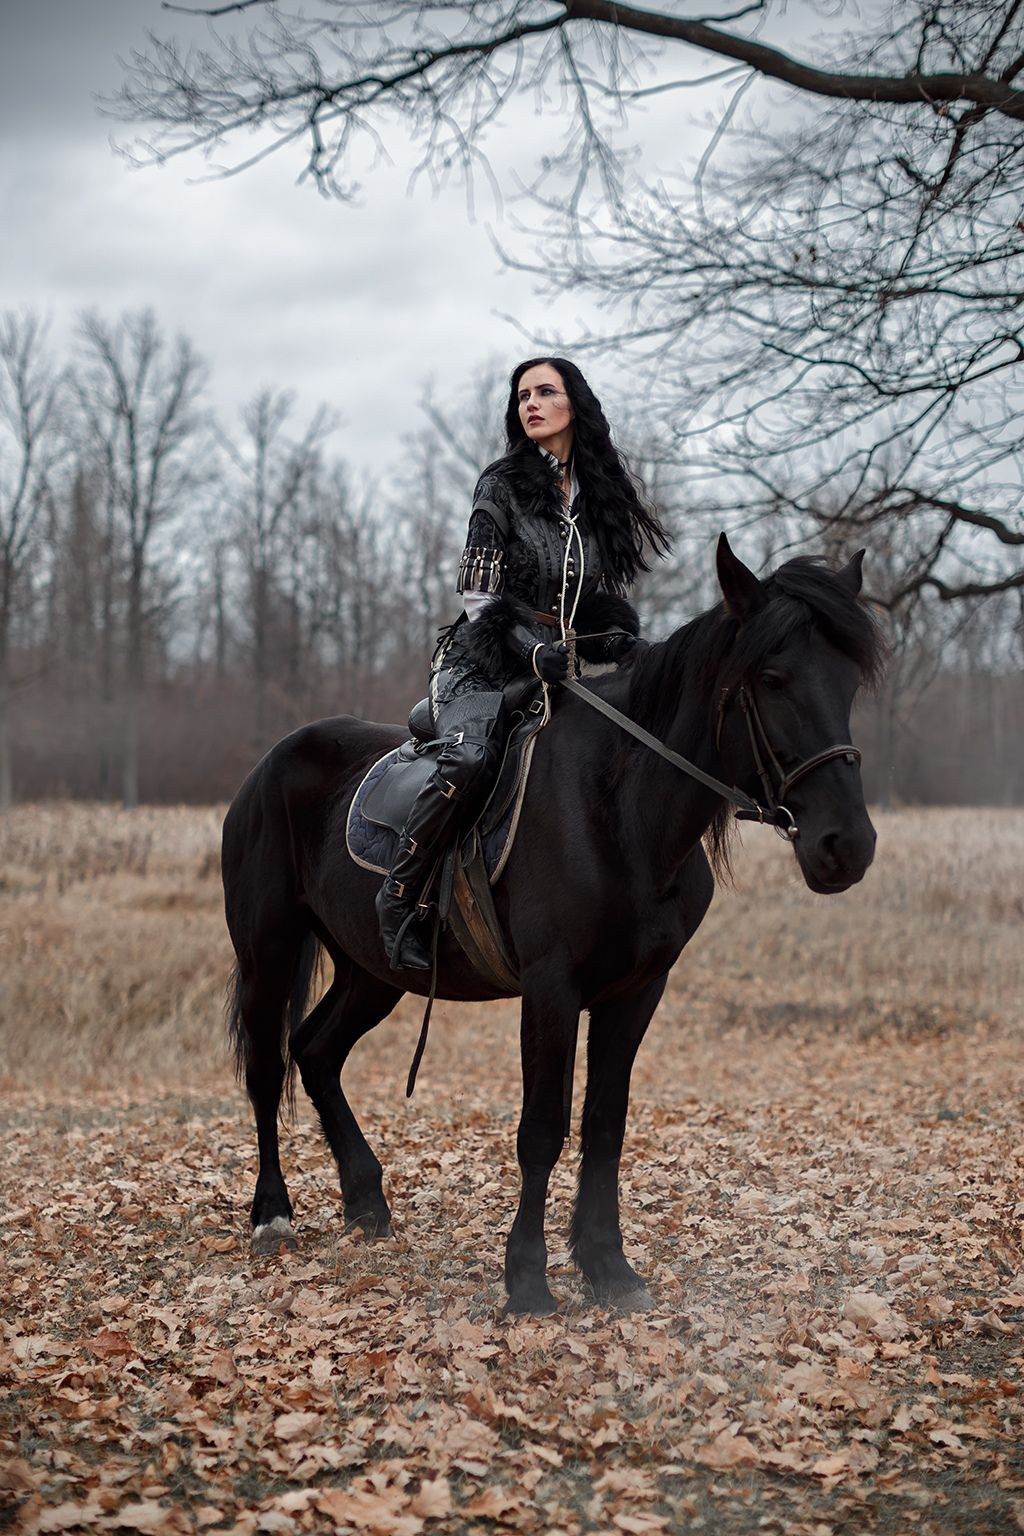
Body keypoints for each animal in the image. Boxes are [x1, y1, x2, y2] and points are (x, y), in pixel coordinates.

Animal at [221, 534, 884, 1314]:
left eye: (848, 682)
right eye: (774, 678)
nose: (847, 846)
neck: (619, 812)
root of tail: (271, 763)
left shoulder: (636, 992)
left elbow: (605, 1123)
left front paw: (608, 1267)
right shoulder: (551, 989)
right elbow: (541, 1129)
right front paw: (528, 1280)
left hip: (373, 970)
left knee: (316, 1050)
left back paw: (366, 1201)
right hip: (268, 948)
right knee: (268, 1067)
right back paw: (272, 1214)